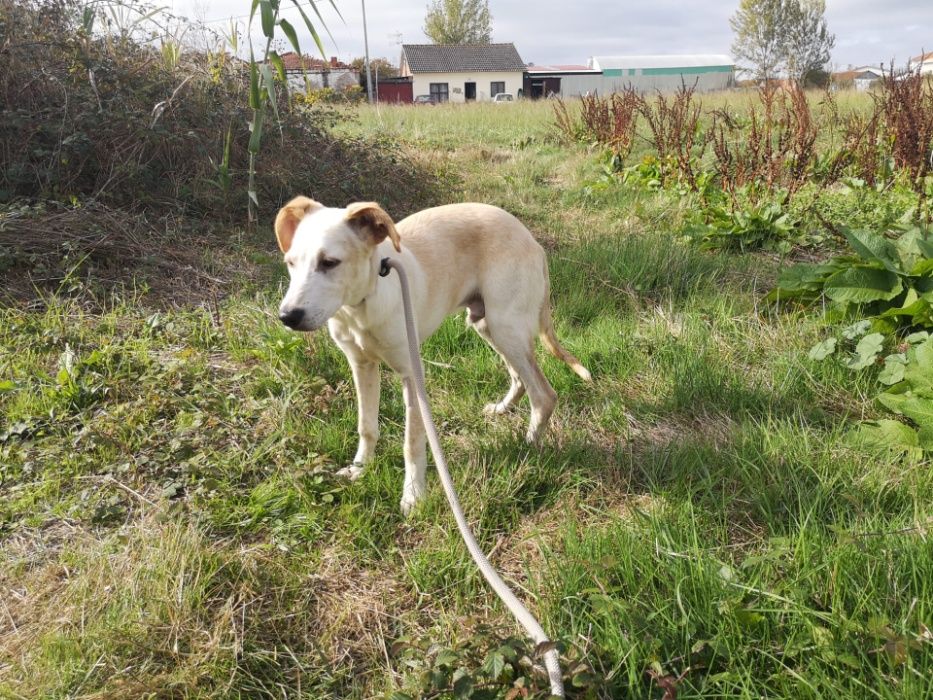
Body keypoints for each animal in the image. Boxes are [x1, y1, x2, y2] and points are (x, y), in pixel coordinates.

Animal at [274, 198, 588, 516]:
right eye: (290, 263)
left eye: (329, 262)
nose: (287, 317)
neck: (361, 306)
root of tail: (531, 239)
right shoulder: (361, 365)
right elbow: (366, 425)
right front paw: (360, 469)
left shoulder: (412, 374)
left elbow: (412, 443)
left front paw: (413, 496)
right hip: (488, 324)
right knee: (519, 378)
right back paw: (502, 409)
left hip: (506, 326)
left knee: (544, 394)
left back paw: (529, 447)